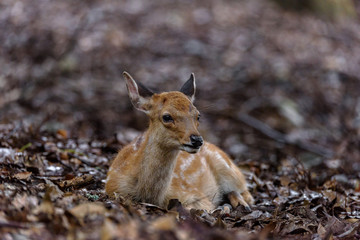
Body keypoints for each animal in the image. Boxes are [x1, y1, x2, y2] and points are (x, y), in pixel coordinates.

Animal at [105, 72, 255, 211]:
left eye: (198, 115)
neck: (150, 196)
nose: (197, 139)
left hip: (229, 169)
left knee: (247, 193)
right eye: (166, 117)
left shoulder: (193, 194)